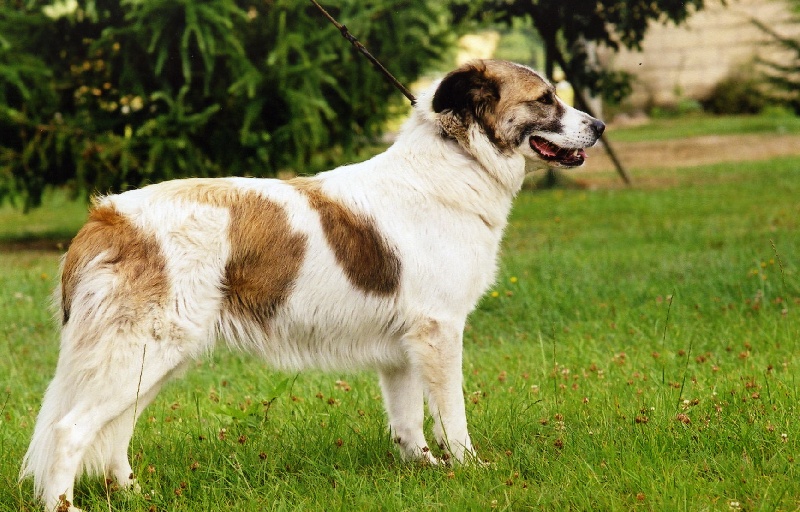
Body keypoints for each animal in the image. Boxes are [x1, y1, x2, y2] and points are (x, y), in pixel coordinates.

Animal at [21, 59, 604, 508]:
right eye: (546, 99)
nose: (598, 126)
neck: (457, 162)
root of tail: (106, 217)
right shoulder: (439, 332)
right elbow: (451, 416)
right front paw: (468, 469)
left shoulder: (403, 348)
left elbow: (409, 423)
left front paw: (424, 470)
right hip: (138, 354)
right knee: (70, 430)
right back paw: (63, 505)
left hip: (152, 360)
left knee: (114, 432)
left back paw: (135, 495)